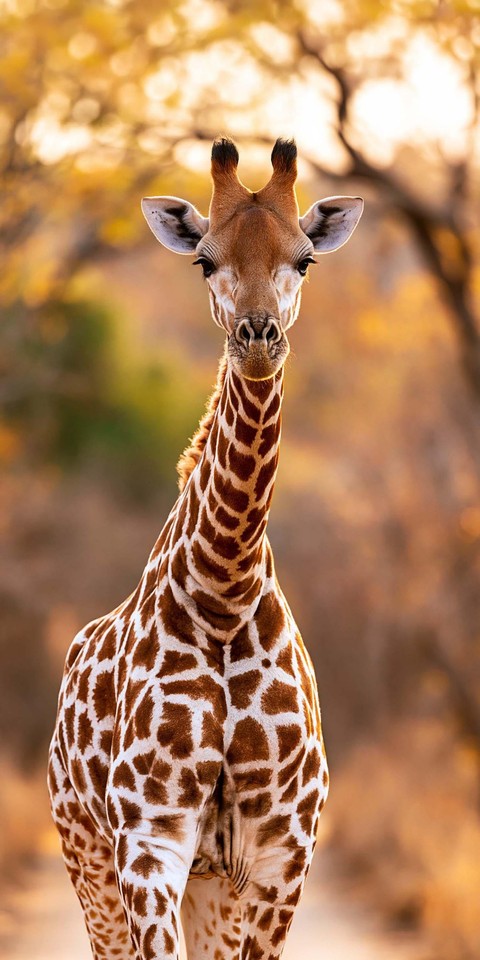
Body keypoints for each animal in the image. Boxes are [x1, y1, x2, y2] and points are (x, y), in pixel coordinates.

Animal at [48, 137, 363, 960]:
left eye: (304, 258)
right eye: (204, 260)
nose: (257, 337)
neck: (224, 587)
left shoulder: (282, 852)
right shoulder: (149, 841)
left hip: (212, 887)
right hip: (90, 864)